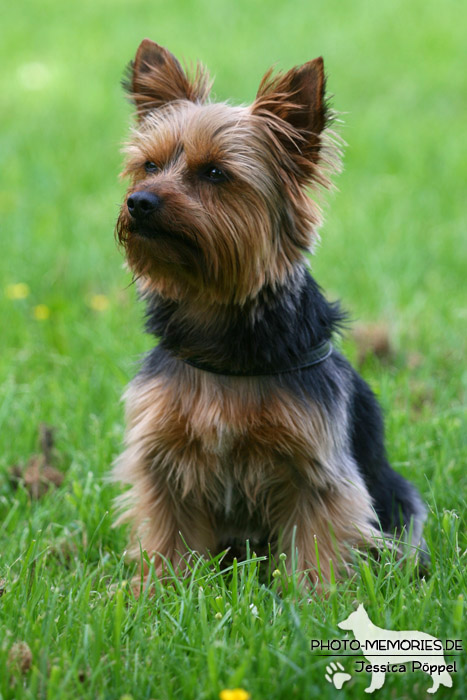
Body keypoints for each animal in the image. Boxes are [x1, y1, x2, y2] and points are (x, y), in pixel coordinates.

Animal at [112, 38, 428, 584]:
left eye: (215, 172)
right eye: (150, 165)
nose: (139, 202)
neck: (215, 315)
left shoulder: (315, 467)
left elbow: (318, 543)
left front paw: (315, 598)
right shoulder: (163, 455)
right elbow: (169, 534)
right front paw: (159, 589)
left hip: (403, 502)